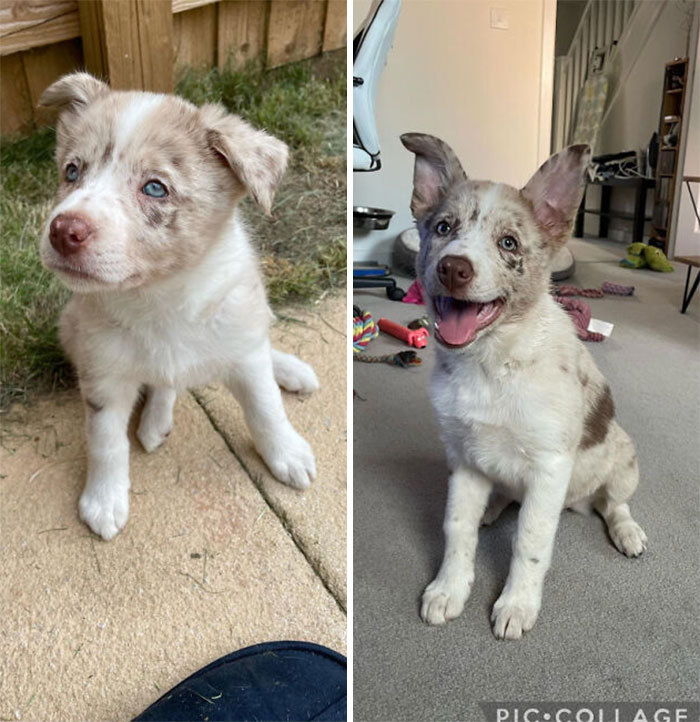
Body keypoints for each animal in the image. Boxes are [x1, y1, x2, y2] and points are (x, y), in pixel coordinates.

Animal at [39, 73, 318, 540]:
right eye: (71, 171)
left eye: (155, 187)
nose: (63, 231)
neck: (161, 296)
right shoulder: (103, 374)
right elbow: (105, 441)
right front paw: (103, 500)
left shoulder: (243, 349)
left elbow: (266, 408)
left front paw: (287, 454)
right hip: (70, 328)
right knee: (164, 382)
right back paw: (156, 420)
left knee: (259, 345)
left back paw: (291, 370)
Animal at [402, 134, 648, 636]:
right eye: (443, 228)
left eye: (509, 243)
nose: (453, 269)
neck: (493, 364)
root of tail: (576, 504)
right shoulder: (464, 458)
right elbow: (457, 527)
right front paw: (449, 588)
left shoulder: (550, 467)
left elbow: (529, 542)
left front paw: (516, 604)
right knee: (502, 499)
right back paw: (493, 508)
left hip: (623, 458)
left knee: (614, 504)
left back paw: (627, 531)